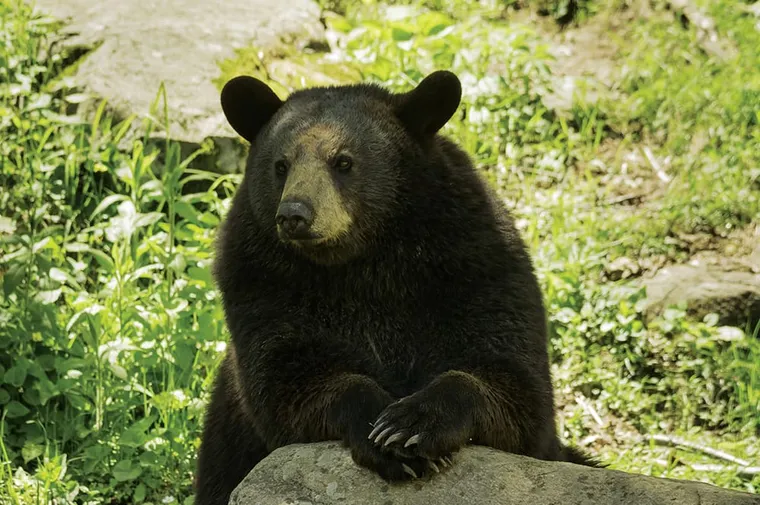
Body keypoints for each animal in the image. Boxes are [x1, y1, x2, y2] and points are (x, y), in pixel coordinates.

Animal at [194, 70, 596, 505]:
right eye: (280, 165)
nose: (294, 215)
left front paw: (411, 425)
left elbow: (515, 387)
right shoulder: (263, 285)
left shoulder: (475, 268)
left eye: (344, 162)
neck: (364, 262)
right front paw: (382, 435)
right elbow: (286, 382)